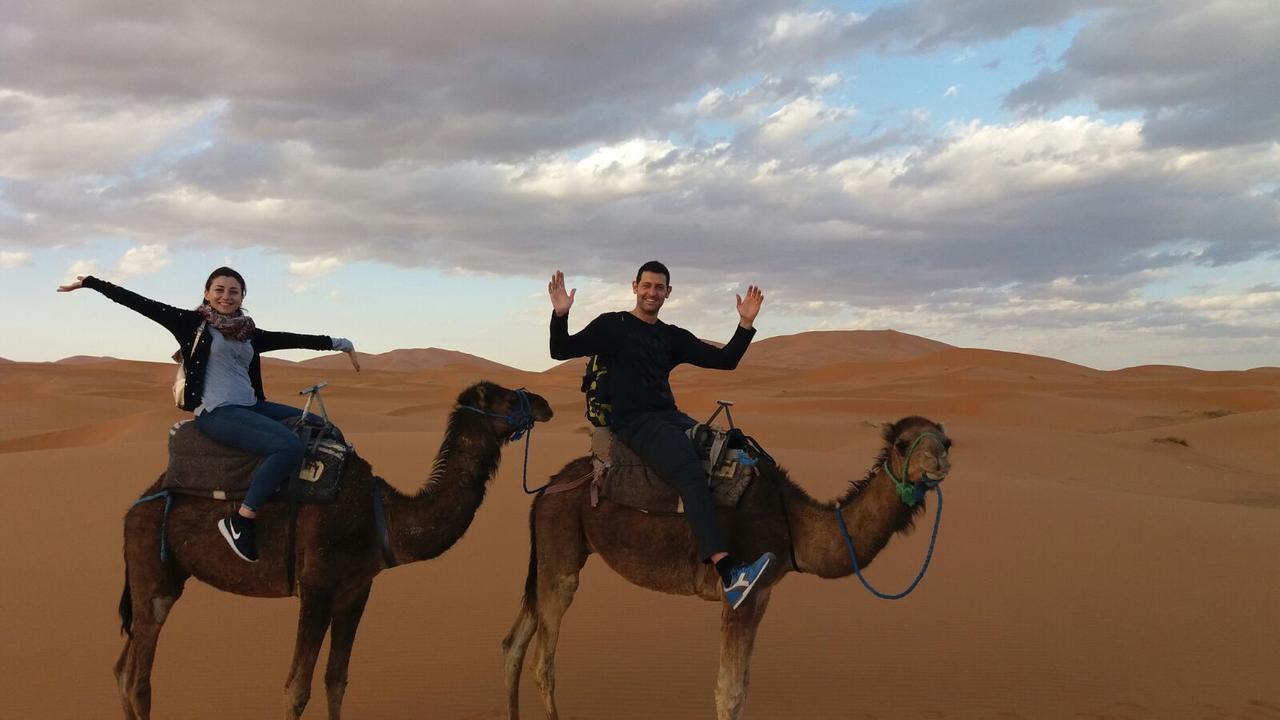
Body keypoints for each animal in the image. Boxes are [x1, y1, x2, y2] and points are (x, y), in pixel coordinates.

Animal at [119, 379, 555, 712]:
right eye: (503, 398)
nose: (544, 403)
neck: (382, 516)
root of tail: (134, 506)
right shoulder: (316, 585)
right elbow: (296, 689)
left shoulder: (356, 589)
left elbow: (336, 680)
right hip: (152, 573)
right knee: (139, 680)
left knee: (122, 670)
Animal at [499, 415, 952, 717]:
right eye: (902, 443)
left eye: (946, 441)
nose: (939, 463)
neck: (793, 523)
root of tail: (545, 489)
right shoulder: (740, 595)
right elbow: (729, 693)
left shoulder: (762, 592)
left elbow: (743, 685)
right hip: (561, 555)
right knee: (543, 662)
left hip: (552, 553)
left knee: (514, 643)